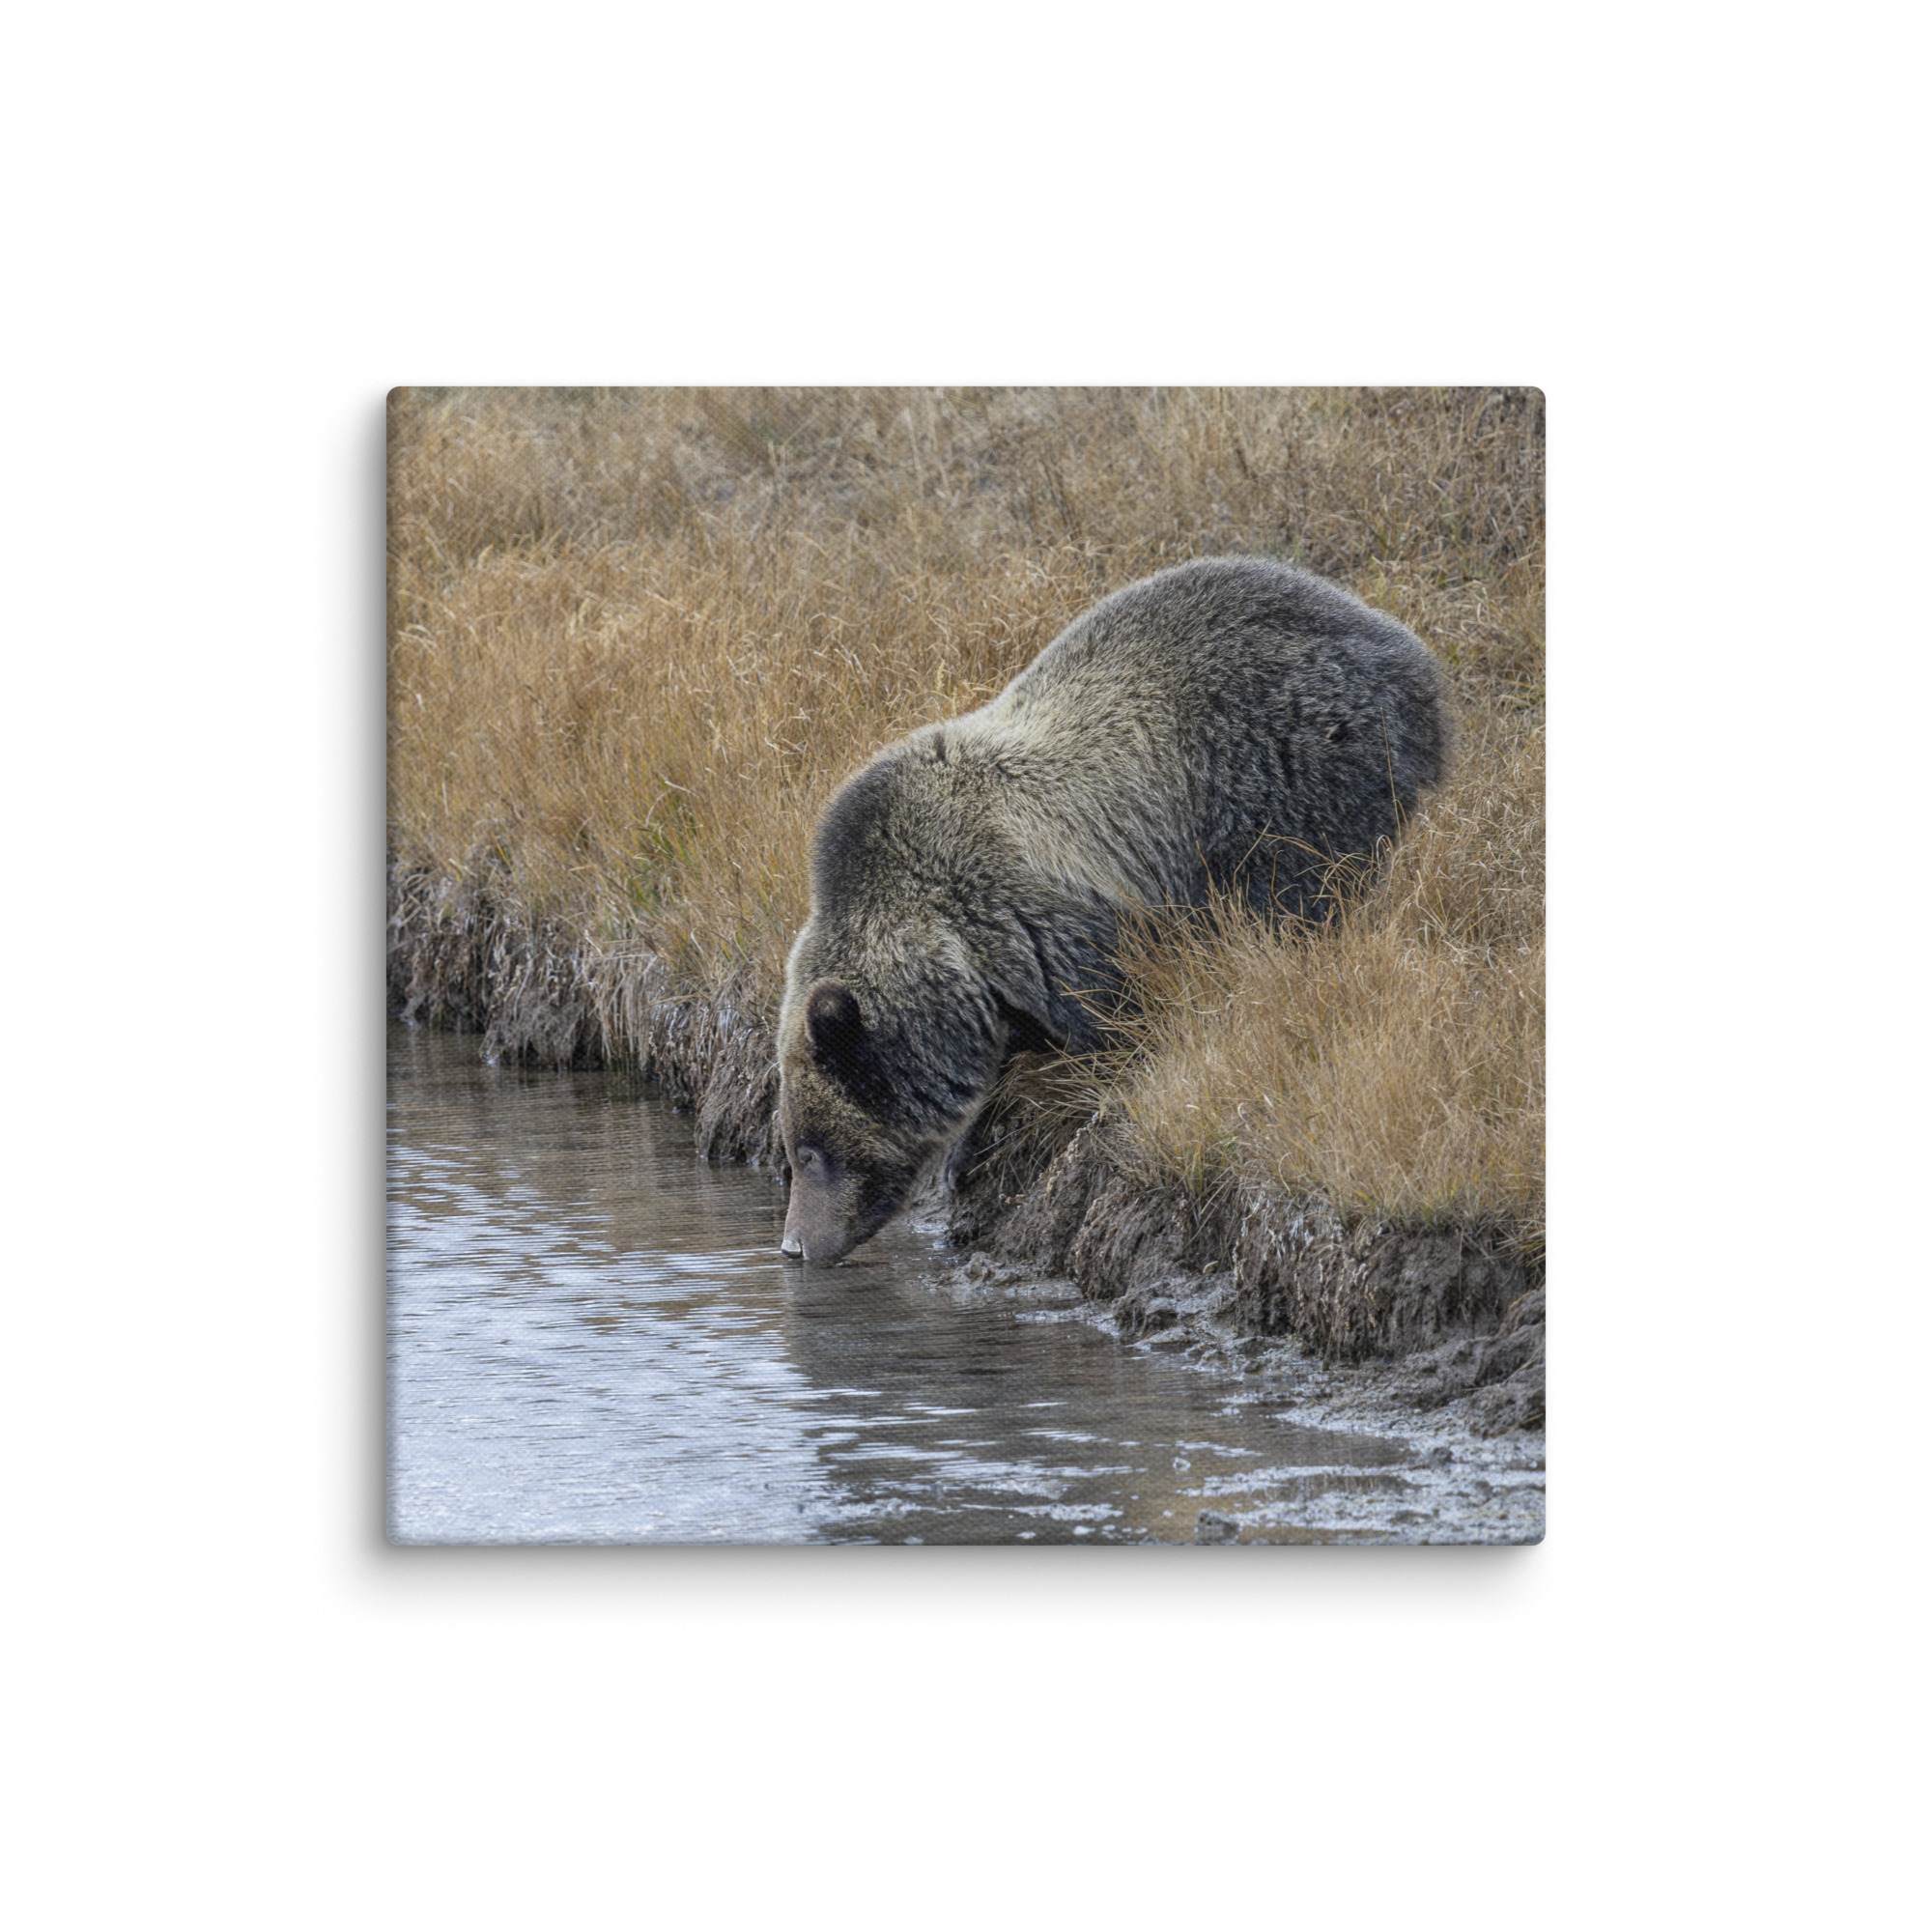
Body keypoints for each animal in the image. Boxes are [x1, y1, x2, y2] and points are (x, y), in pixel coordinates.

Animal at [776, 555, 1448, 1264]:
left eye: (811, 1151)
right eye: (793, 1150)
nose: (794, 1245)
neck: (954, 952)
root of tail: (1402, 644)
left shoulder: (1043, 922)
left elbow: (1111, 1018)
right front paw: (968, 1147)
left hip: (1286, 767)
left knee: (1297, 892)